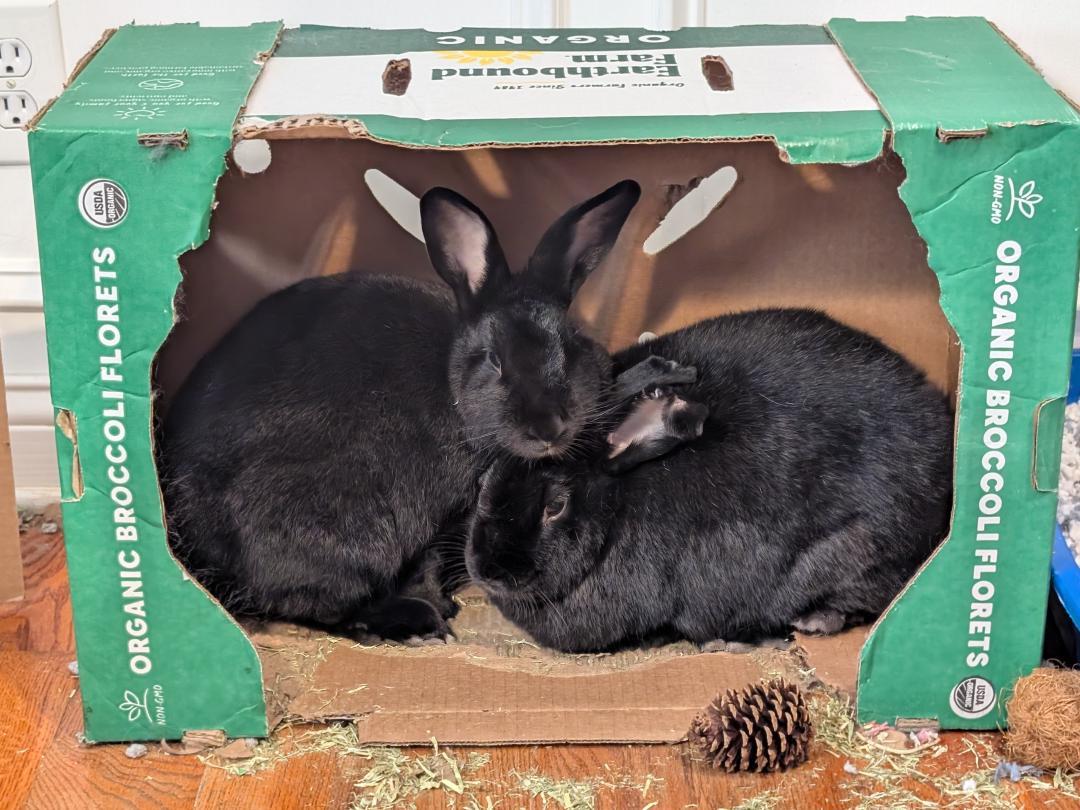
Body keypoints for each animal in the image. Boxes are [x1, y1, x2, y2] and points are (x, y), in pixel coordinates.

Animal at [161, 180, 662, 642]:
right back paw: (412, 624)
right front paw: (437, 607)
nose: (548, 427)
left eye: (573, 347)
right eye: (496, 361)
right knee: (314, 608)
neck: (453, 386)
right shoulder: (442, 516)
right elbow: (430, 563)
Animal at [466, 308, 954, 653]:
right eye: (485, 480)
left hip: (861, 553)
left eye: (555, 505)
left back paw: (811, 621)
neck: (618, 505)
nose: (488, 571)